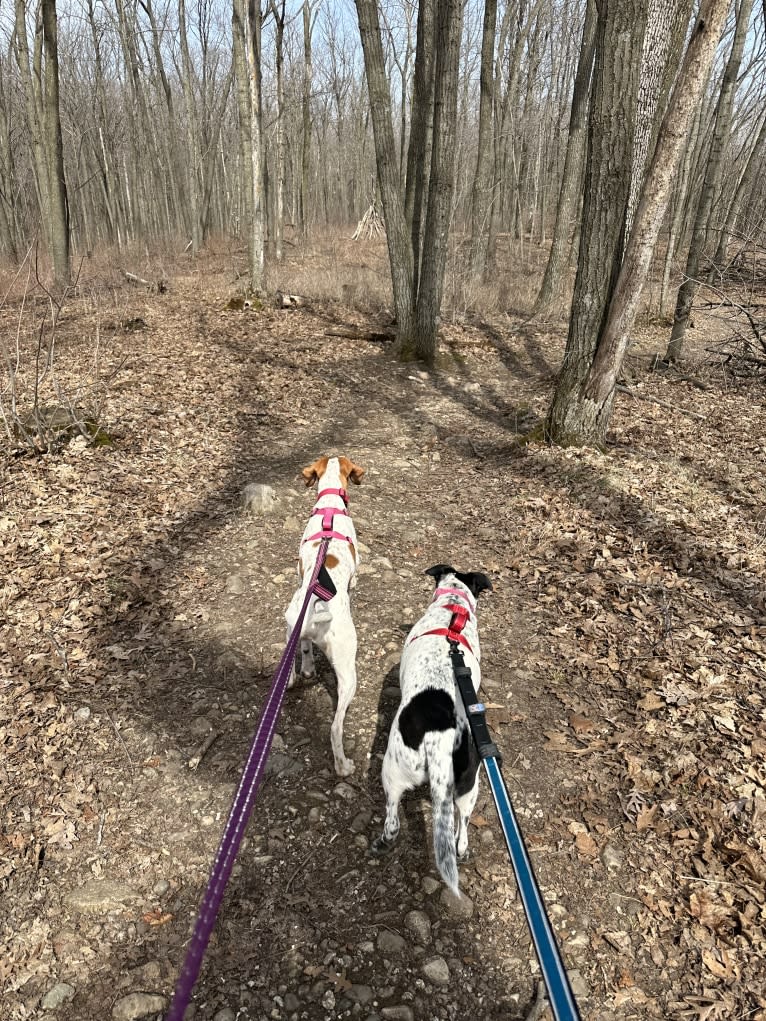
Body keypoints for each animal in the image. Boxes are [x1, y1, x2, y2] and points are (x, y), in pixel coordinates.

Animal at [285, 455, 367, 771]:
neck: (329, 505)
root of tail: (318, 612)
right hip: (348, 673)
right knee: (335, 728)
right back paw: (344, 766)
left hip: (291, 634)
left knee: (295, 668)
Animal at [373, 567, 494, 894]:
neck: (452, 611)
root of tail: (440, 741)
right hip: (470, 785)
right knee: (461, 827)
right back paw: (461, 849)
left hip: (391, 769)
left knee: (392, 820)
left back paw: (383, 840)